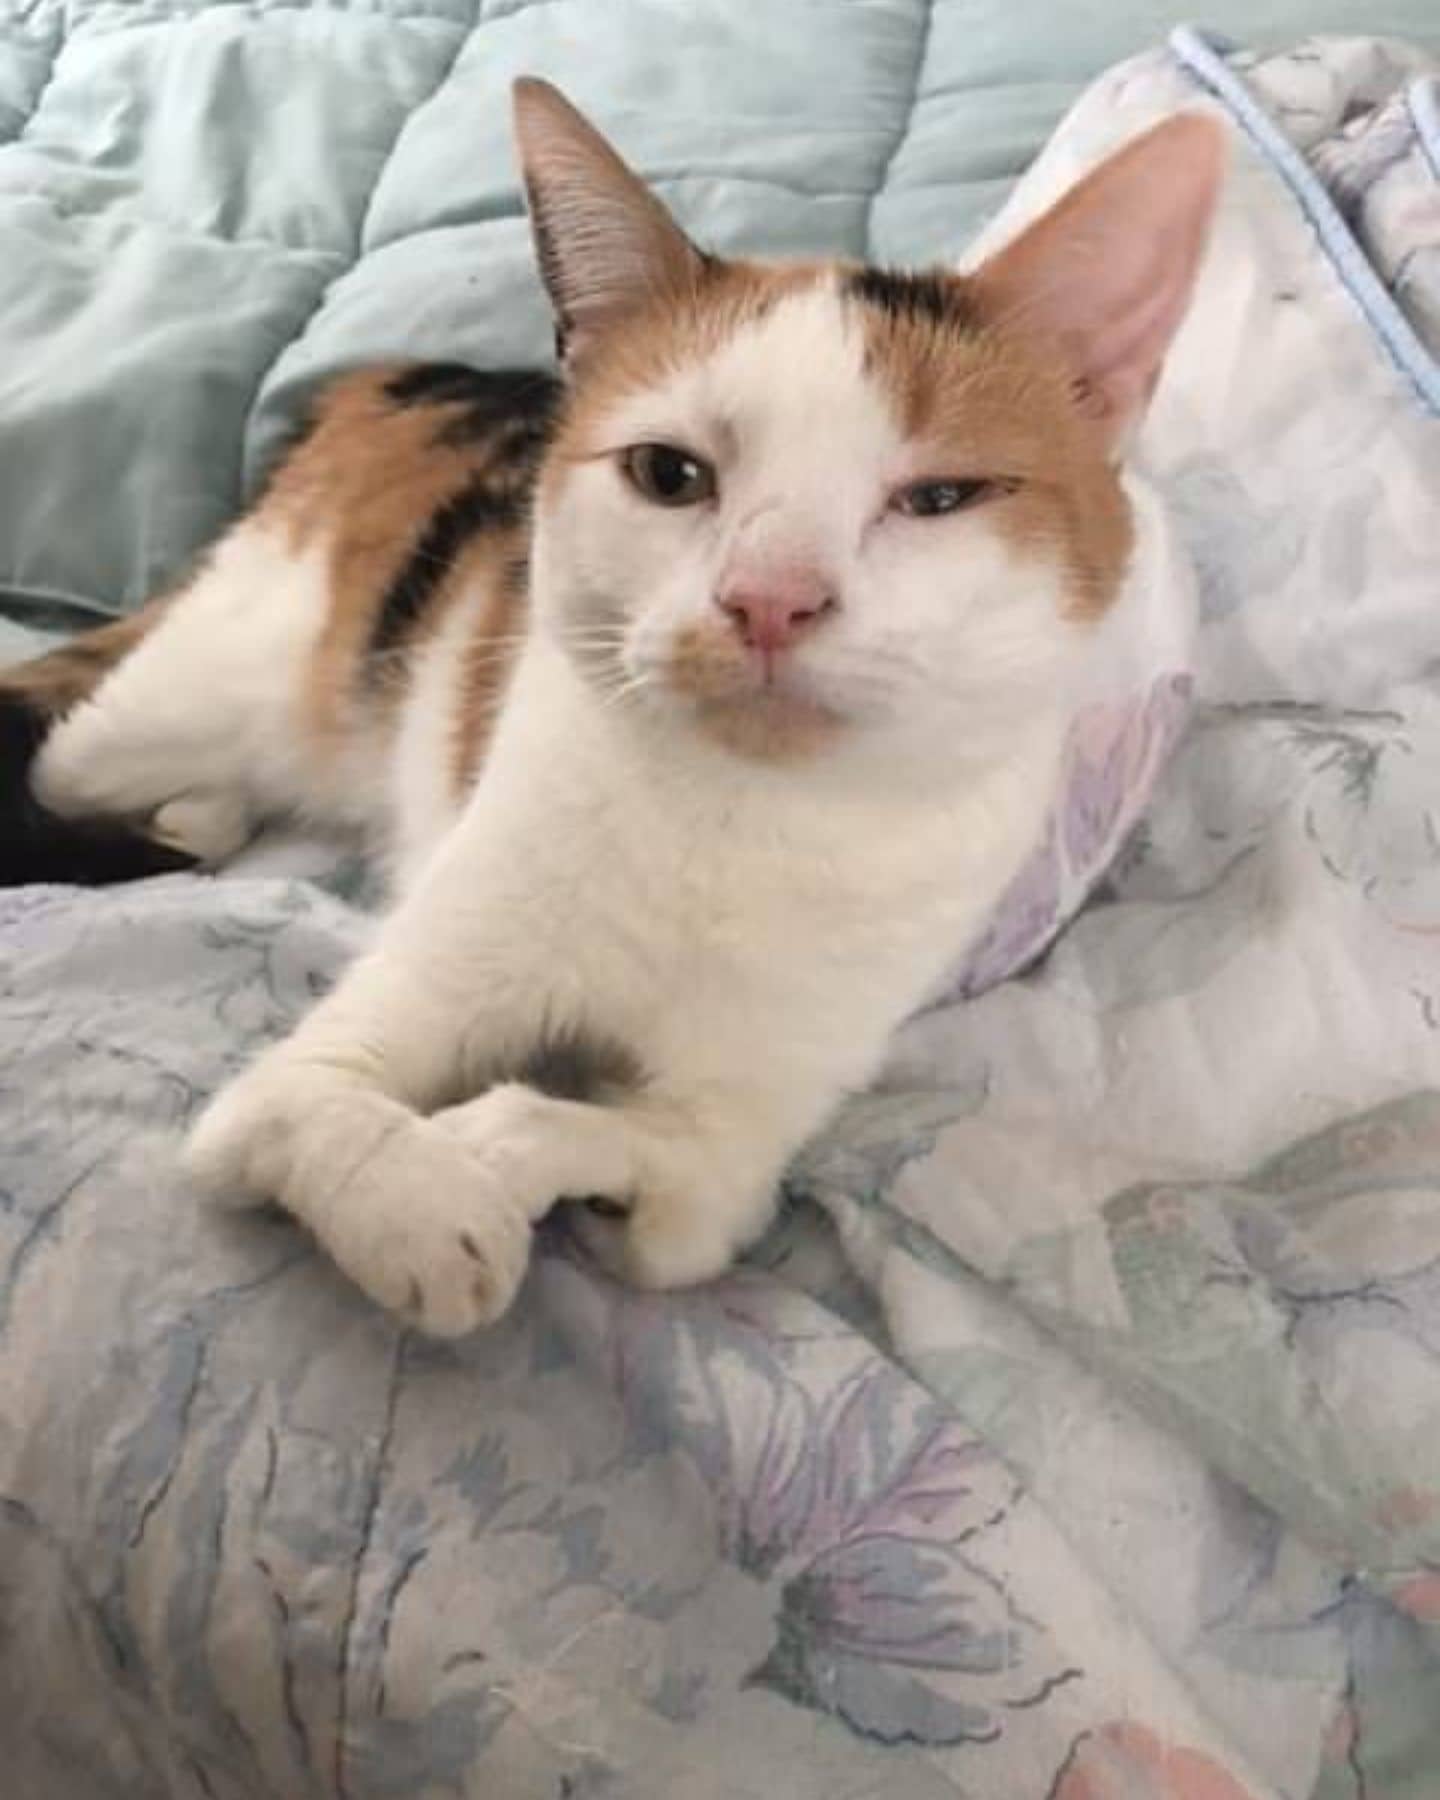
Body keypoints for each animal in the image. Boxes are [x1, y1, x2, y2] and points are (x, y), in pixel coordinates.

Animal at [0, 81, 1224, 1339]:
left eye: (940, 498)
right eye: (669, 474)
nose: (770, 599)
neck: (744, 824)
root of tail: (392, 379)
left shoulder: (735, 1159)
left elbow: (662, 1207)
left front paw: (508, 1143)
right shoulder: (313, 1062)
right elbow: (303, 1106)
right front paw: (433, 1215)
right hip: (213, 680)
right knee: (69, 759)